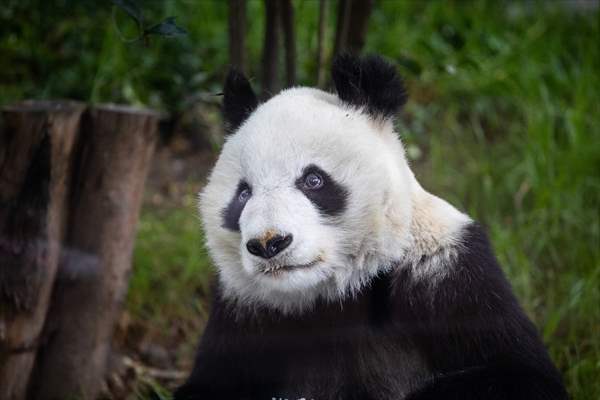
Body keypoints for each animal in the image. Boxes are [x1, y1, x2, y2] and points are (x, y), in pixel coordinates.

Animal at [176, 54, 568, 400]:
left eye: (313, 180)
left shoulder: (448, 274)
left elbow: (523, 375)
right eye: (243, 193)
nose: (269, 243)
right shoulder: (244, 312)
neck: (329, 294)